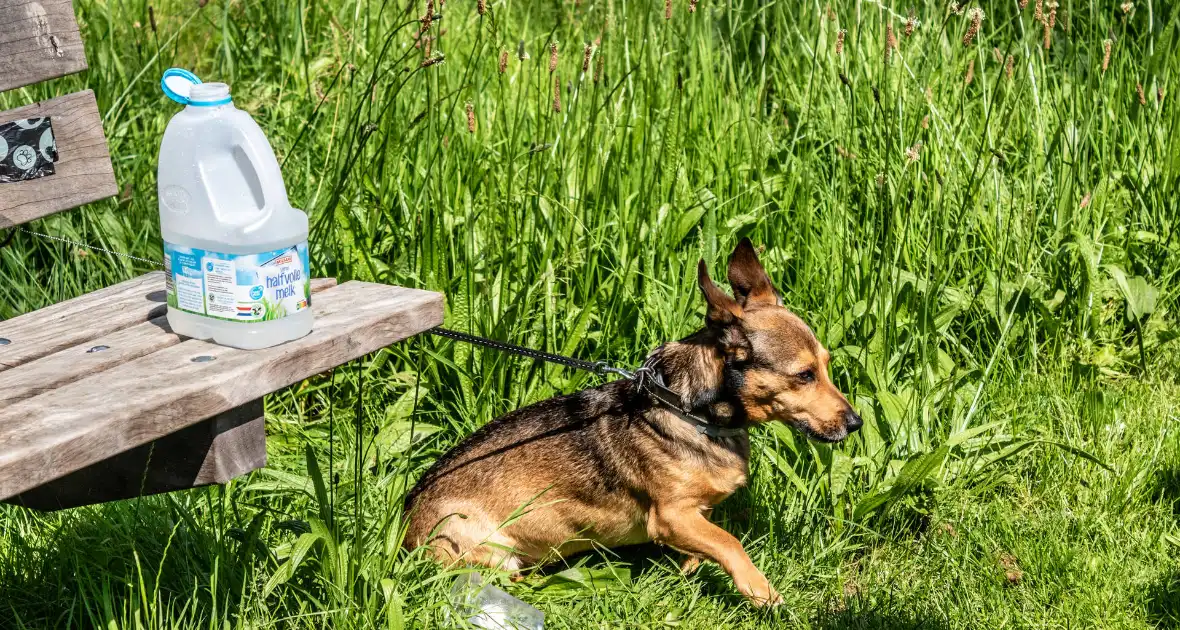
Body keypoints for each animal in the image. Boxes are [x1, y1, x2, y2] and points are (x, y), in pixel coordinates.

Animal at [403, 238, 859, 608]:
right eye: (804, 375)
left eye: (826, 365)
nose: (855, 423)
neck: (691, 411)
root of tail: (404, 530)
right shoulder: (671, 516)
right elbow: (729, 543)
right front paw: (760, 591)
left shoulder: (694, 516)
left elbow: (706, 544)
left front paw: (690, 570)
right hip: (484, 548)